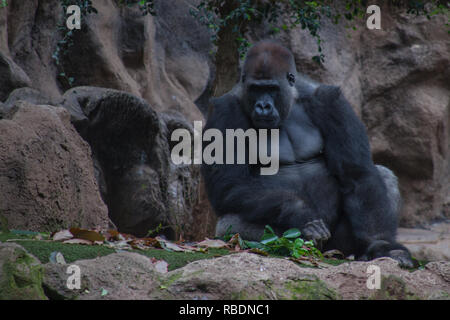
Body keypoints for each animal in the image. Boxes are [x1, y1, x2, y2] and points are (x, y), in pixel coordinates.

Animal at [202, 40, 414, 268]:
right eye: (255, 89)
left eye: (271, 88)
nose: (263, 106)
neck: (290, 101)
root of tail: (325, 251)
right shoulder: (224, 112)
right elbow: (230, 183)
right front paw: (300, 213)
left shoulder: (330, 101)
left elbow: (356, 173)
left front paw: (381, 244)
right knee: (229, 222)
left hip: (338, 243)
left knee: (383, 176)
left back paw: (364, 250)